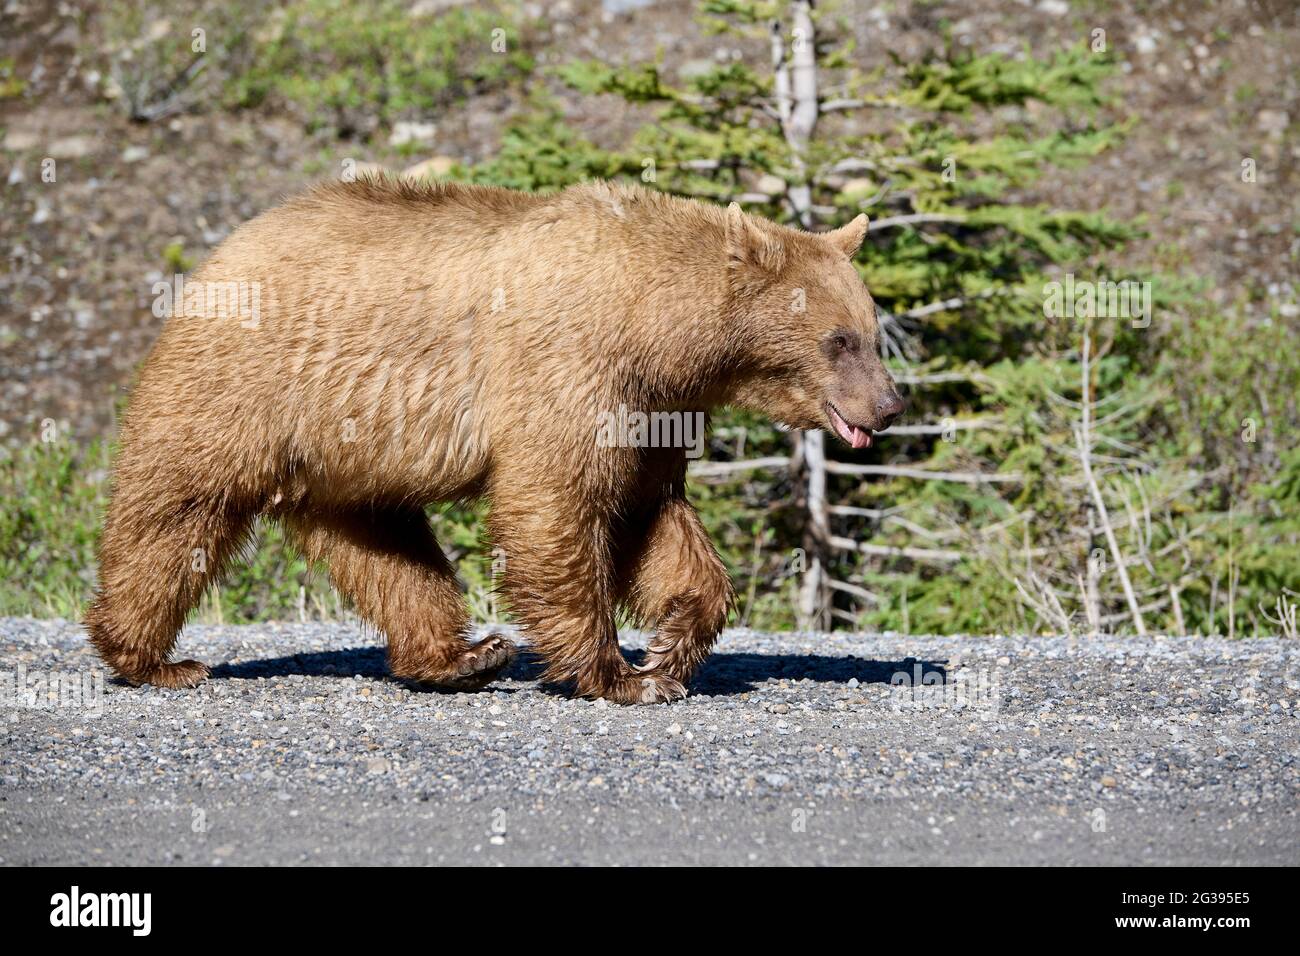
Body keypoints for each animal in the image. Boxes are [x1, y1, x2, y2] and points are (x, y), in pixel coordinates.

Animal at [83, 178, 904, 702]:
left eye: (873, 332)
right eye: (837, 340)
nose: (891, 405)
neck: (657, 329)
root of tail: (215, 257)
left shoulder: (652, 409)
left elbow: (654, 518)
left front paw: (670, 646)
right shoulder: (570, 369)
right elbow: (557, 505)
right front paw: (617, 675)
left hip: (347, 454)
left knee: (388, 551)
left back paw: (460, 655)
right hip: (244, 388)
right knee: (176, 510)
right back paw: (151, 658)